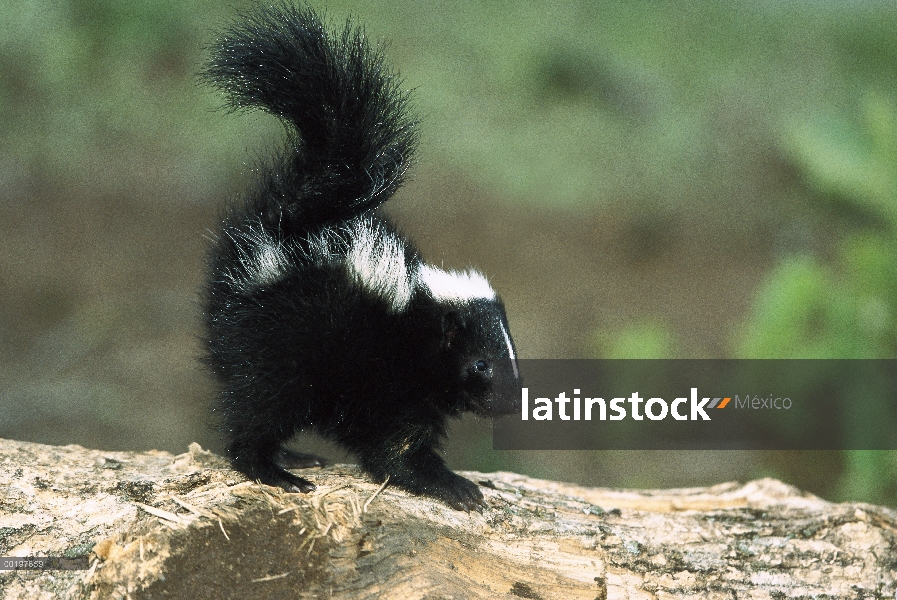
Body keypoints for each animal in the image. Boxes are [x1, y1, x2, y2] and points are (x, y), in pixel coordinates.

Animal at [199, 3, 516, 510]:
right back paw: (275, 471)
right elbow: (395, 451)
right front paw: (457, 486)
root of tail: (279, 235)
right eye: (479, 365)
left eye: (510, 354)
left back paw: (294, 454)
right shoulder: (391, 380)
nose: (509, 401)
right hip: (279, 345)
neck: (415, 316)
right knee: (258, 409)